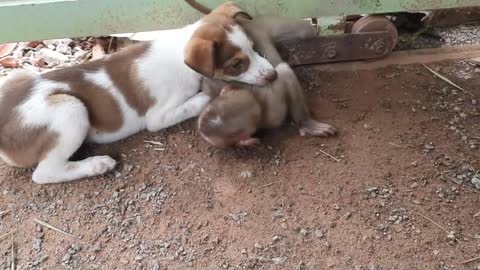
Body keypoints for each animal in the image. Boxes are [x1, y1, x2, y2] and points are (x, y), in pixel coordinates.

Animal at [0, 1, 278, 184]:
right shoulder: (158, 117)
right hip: (70, 109)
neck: (179, 51)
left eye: (253, 47)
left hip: (17, 77)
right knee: (44, 173)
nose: (273, 75)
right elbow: (199, 100)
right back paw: (97, 164)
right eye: (237, 64)